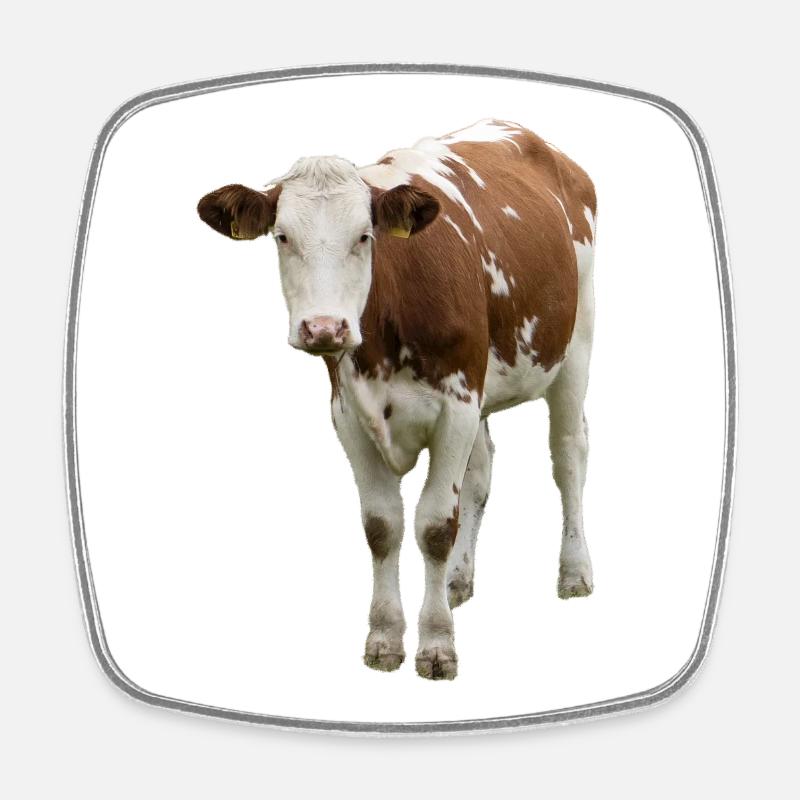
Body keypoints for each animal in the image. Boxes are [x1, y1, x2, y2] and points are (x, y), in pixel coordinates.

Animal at [197, 119, 596, 680]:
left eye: (364, 236)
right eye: (282, 237)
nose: (324, 327)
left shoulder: (456, 405)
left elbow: (434, 525)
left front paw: (437, 645)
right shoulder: (348, 414)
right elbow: (382, 526)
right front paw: (385, 636)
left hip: (575, 344)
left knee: (568, 455)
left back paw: (575, 570)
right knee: (481, 472)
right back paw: (457, 579)